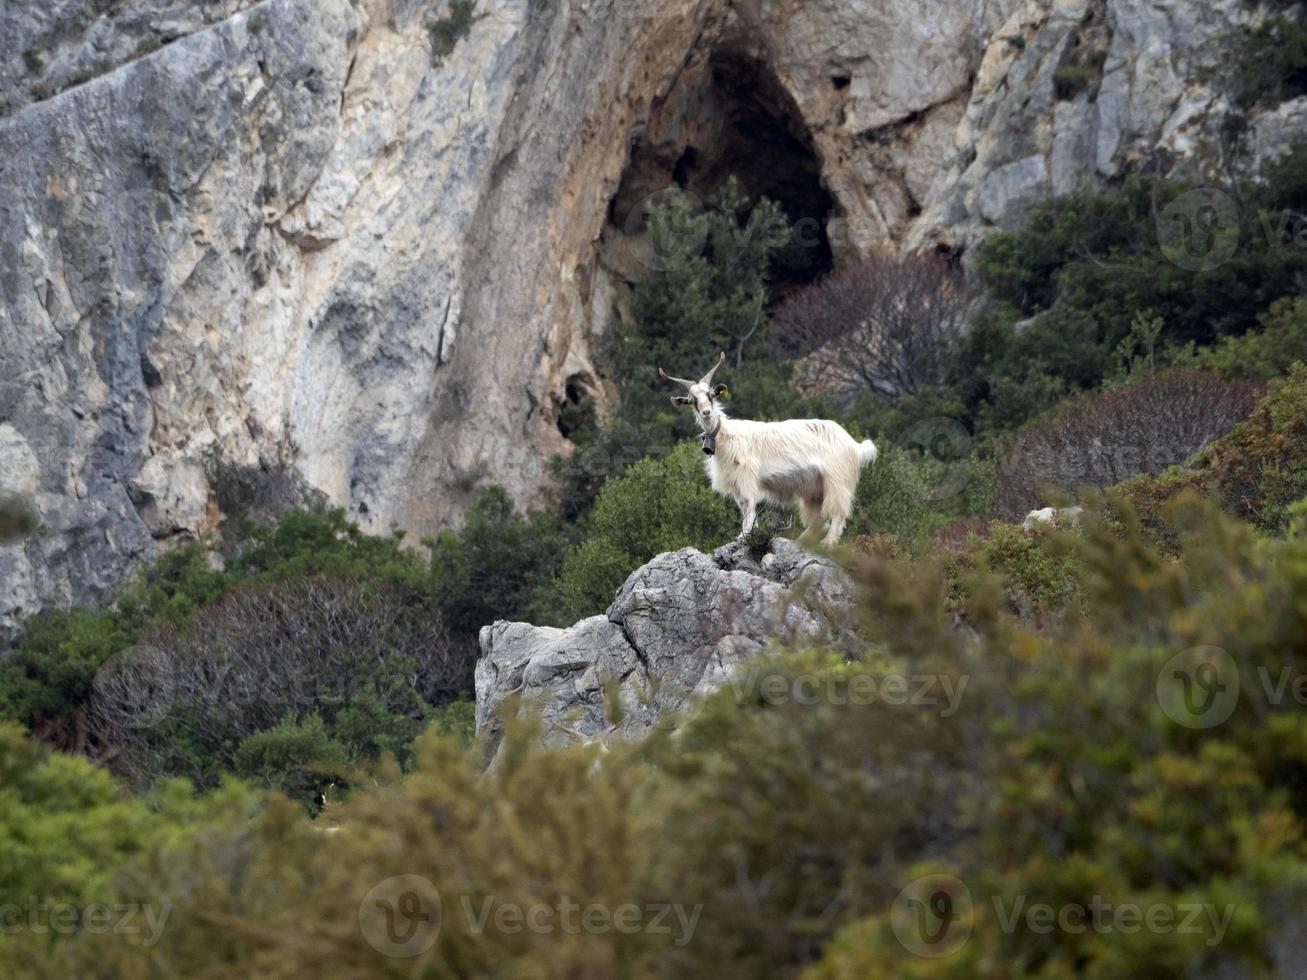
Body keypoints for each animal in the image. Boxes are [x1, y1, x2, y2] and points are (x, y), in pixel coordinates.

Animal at [663, 352, 878, 548]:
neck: (727, 436)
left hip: (837, 481)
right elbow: (744, 508)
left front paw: (743, 537)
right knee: (820, 518)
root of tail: (855, 446)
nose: (707, 413)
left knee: (838, 512)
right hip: (815, 488)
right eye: (692, 401)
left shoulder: (746, 478)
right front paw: (745, 535)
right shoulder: (736, 484)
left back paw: (828, 543)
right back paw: (803, 541)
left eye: (711, 395)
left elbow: (749, 507)